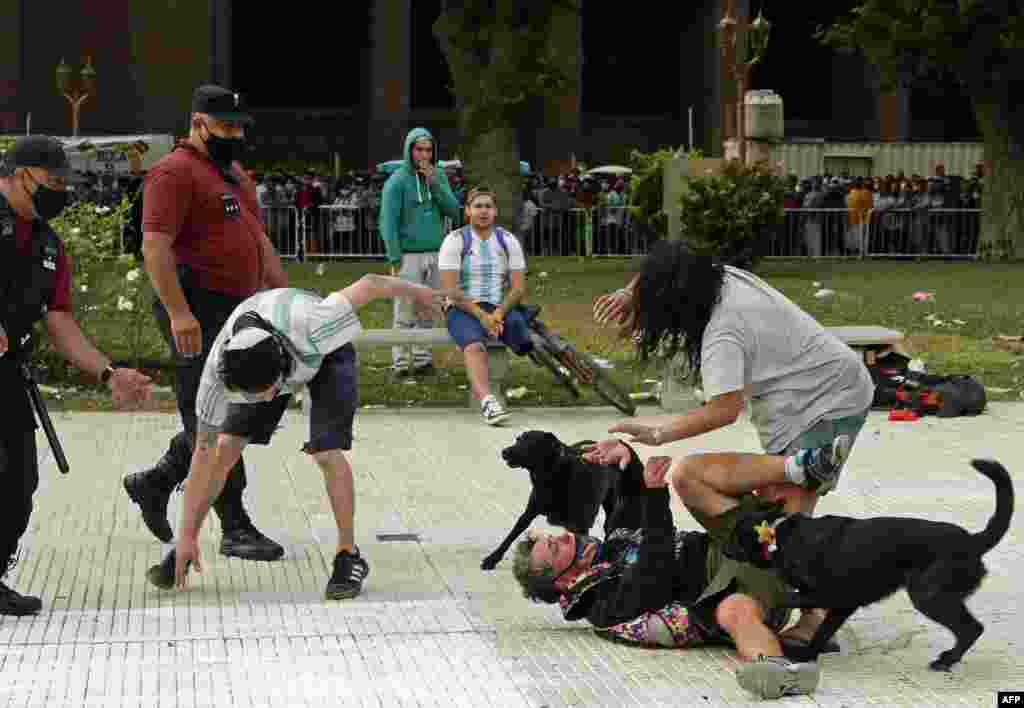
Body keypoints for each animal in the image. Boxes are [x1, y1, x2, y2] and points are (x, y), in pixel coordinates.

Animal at [481, 432, 618, 569]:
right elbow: (511, 535)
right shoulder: (529, 513)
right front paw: (492, 558)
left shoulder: (581, 526)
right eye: (518, 439)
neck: (552, 474)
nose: (504, 452)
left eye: (529, 443)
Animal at [724, 459, 1011, 672]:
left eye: (734, 537)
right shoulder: (842, 605)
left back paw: (947, 660)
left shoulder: (827, 595)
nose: (724, 550)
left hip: (927, 596)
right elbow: (822, 632)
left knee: (972, 629)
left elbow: (787, 599)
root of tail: (973, 541)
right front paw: (809, 654)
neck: (779, 534)